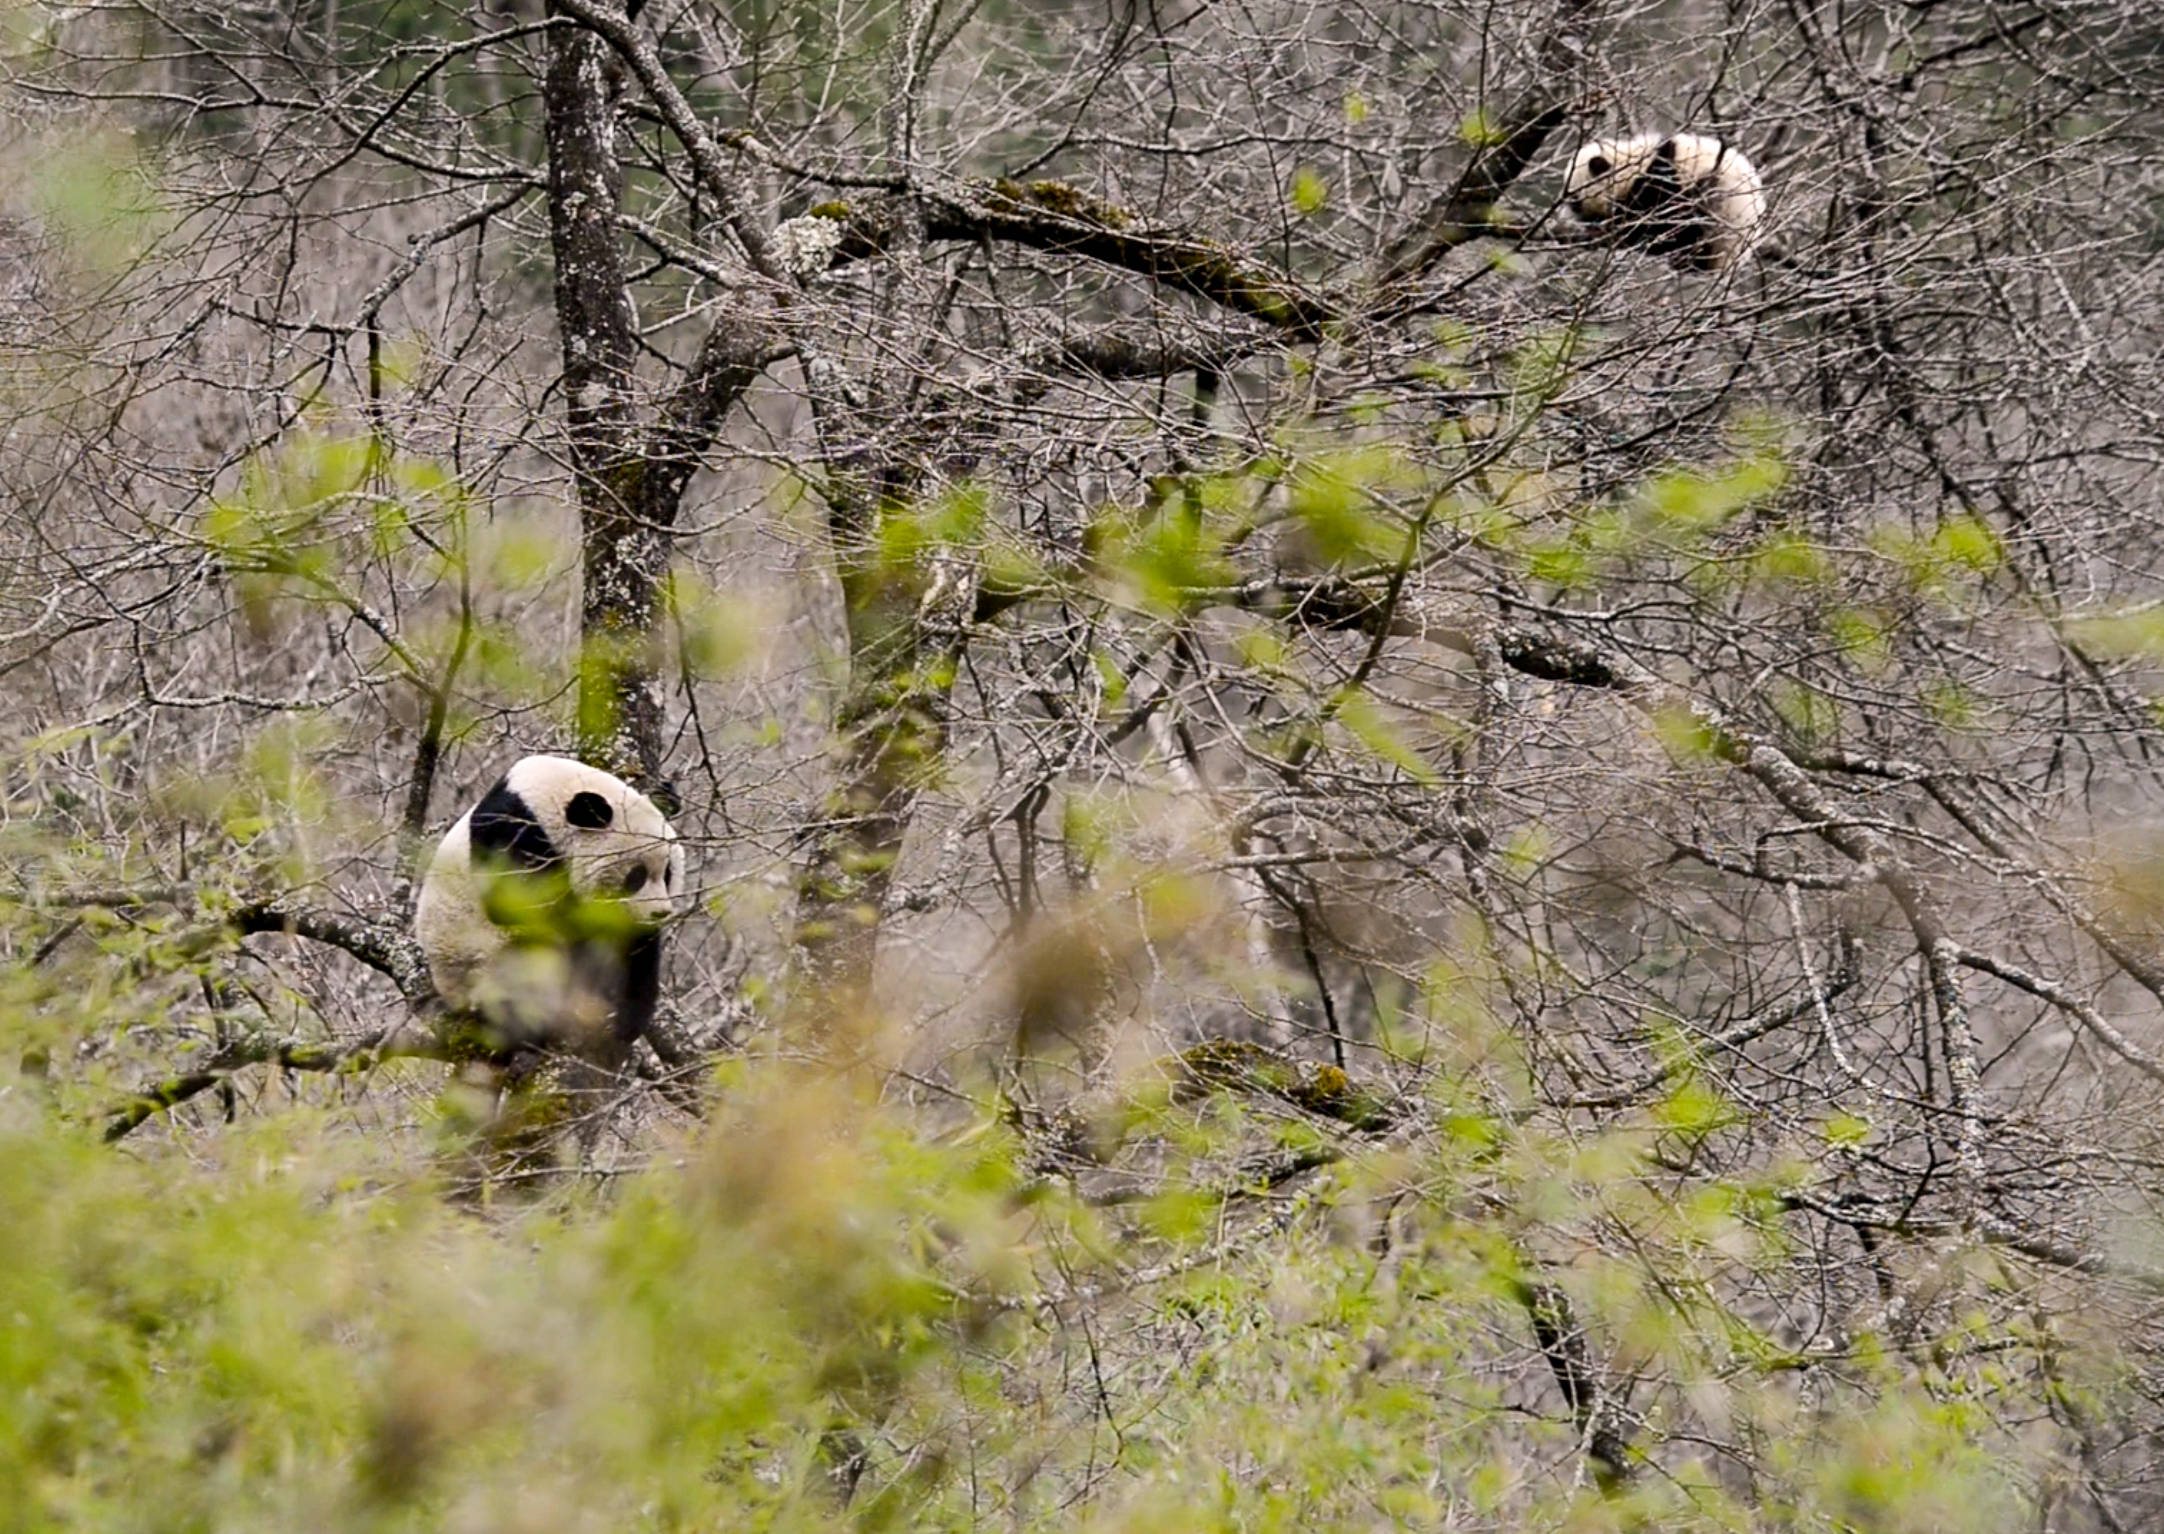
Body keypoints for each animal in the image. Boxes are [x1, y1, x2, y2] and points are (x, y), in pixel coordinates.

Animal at [413, 752, 683, 1060]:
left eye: (668, 874)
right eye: (635, 876)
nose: (660, 912)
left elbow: (636, 954)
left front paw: (624, 1019)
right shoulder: (511, 833)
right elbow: (516, 906)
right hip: (477, 963)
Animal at [1566, 131, 1765, 272]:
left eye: (1575, 201)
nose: (1580, 220)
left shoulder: (1663, 179)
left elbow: (1652, 220)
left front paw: (1605, 234)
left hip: (1722, 209)